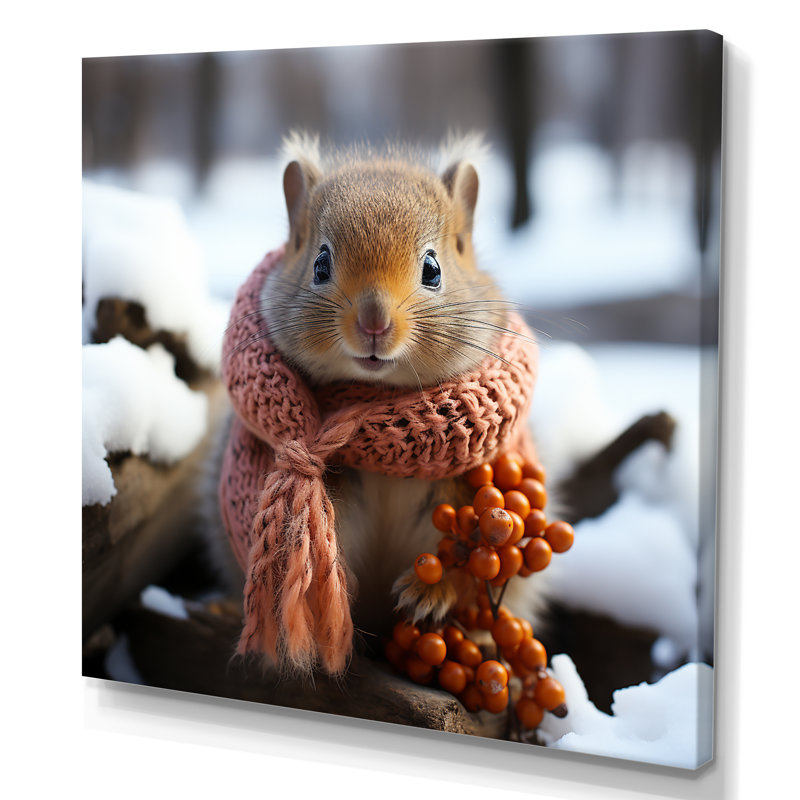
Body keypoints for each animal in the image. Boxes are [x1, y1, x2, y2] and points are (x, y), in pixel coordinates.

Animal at [208, 132, 547, 666]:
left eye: (433, 268)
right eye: (320, 264)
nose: (374, 322)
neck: (376, 396)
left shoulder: (465, 488)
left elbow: (467, 569)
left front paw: (430, 593)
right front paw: (328, 591)